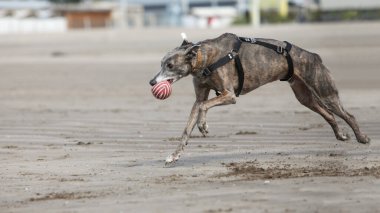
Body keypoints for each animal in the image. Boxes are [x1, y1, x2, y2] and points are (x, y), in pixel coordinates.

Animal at [149, 32, 372, 165]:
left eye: (169, 65)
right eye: (161, 63)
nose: (152, 82)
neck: (206, 58)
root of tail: (315, 56)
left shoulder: (229, 95)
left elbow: (205, 106)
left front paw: (203, 125)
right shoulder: (200, 97)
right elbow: (188, 126)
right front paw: (174, 155)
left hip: (325, 91)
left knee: (348, 115)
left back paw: (362, 138)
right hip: (304, 96)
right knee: (329, 115)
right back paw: (341, 135)